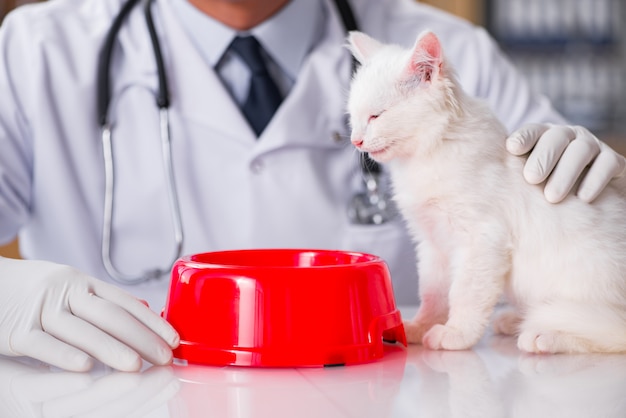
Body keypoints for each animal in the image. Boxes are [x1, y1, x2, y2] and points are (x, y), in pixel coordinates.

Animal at [344, 31, 624, 354]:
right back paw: (515, 320)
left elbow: (464, 294)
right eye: (352, 117)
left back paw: (542, 335)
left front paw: (455, 333)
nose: (355, 141)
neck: (423, 158)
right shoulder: (432, 244)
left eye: (376, 116)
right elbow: (433, 295)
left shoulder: (480, 240)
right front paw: (420, 326)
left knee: (604, 330)